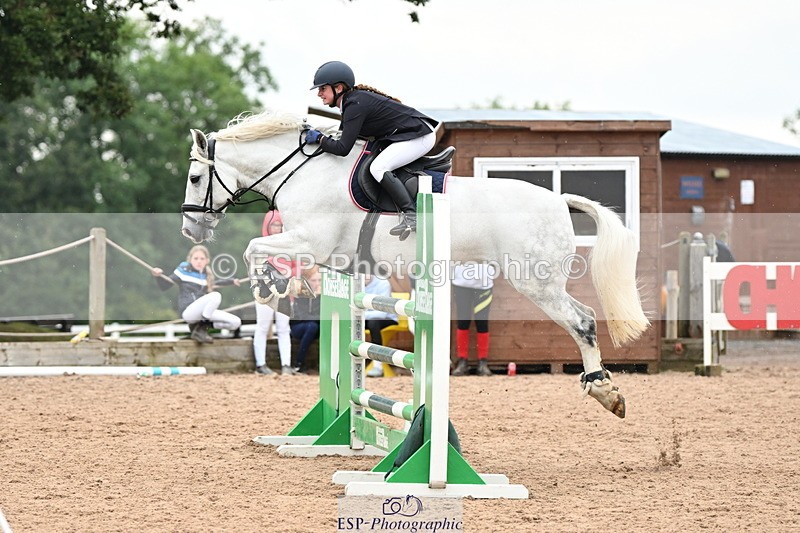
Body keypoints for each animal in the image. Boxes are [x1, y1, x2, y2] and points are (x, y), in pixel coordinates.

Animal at [180, 112, 649, 418]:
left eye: (195, 178)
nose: (190, 229)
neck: (304, 172)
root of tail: (559, 199)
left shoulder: (310, 242)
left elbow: (253, 247)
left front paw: (266, 284)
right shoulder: (325, 255)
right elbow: (264, 251)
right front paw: (278, 283)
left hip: (536, 283)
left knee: (583, 321)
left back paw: (605, 391)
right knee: (584, 317)